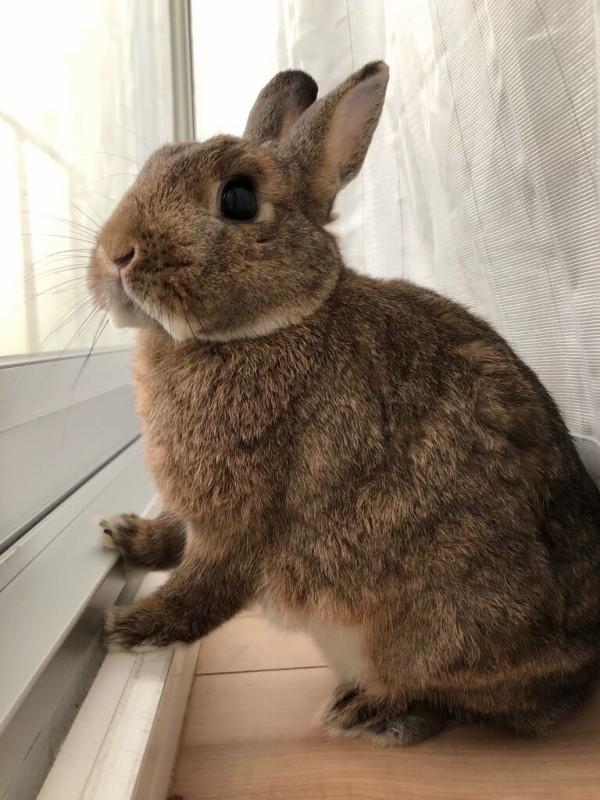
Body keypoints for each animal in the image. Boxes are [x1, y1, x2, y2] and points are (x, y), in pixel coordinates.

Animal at [90, 62, 600, 746]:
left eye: (239, 199)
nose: (116, 254)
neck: (269, 325)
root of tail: (585, 666)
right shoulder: (197, 509)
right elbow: (175, 537)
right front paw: (127, 535)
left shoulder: (243, 517)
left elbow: (208, 584)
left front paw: (134, 627)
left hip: (435, 630)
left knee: (466, 701)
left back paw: (370, 710)